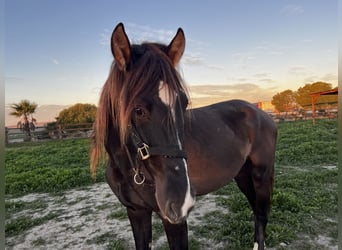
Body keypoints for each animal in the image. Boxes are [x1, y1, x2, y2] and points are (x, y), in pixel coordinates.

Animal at [91, 23, 278, 250]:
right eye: (138, 109)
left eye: (183, 102)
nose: (181, 201)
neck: (128, 167)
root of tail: (261, 113)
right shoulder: (136, 212)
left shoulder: (173, 221)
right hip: (242, 175)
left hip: (261, 176)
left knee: (261, 215)